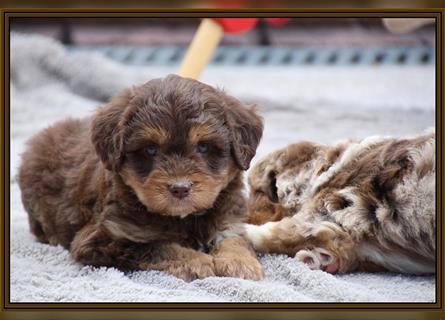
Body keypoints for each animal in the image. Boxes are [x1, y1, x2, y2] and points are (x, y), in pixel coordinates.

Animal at [18, 74, 264, 282]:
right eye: (151, 149)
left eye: (203, 147)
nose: (180, 188)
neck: (182, 218)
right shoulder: (104, 237)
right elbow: (157, 246)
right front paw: (199, 261)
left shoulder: (229, 219)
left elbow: (235, 239)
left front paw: (240, 263)